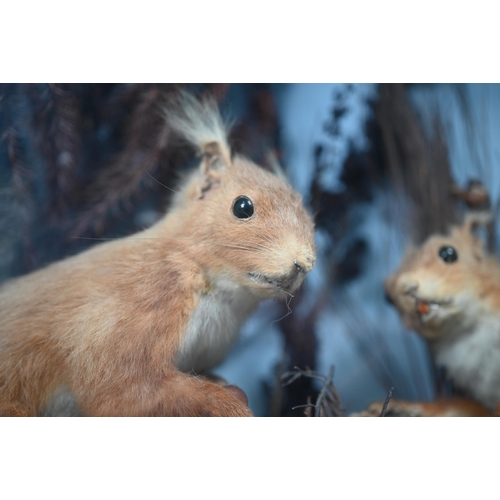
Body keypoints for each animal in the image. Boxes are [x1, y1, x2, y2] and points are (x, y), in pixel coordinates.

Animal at [0, 91, 314, 418]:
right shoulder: (126, 321)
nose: (304, 262)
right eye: (243, 207)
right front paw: (229, 406)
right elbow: (126, 391)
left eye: (307, 212)